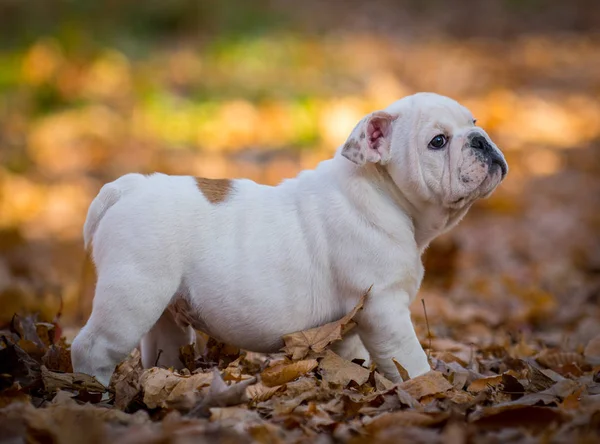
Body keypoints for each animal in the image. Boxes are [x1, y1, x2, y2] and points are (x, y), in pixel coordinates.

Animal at [72, 93, 508, 386]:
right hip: (132, 296)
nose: (480, 139)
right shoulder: (384, 308)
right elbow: (411, 362)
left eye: (473, 121)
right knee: (92, 348)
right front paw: (429, 388)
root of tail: (128, 188)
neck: (383, 192)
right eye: (438, 141)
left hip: (164, 314)